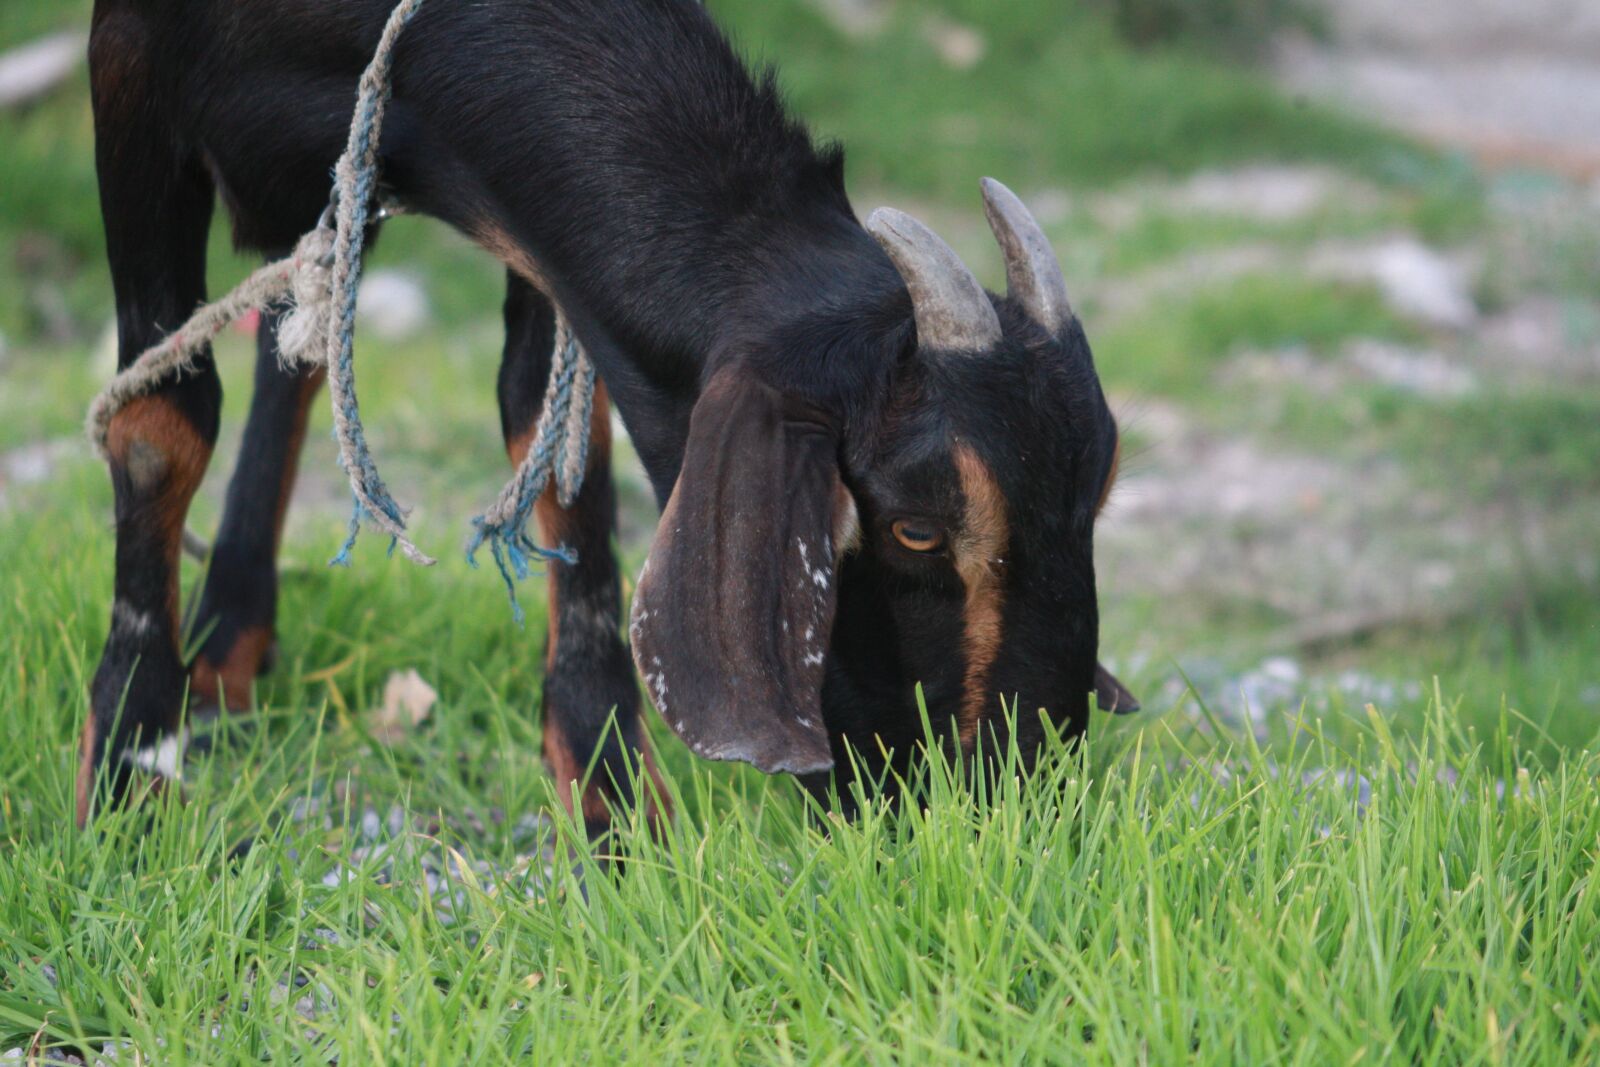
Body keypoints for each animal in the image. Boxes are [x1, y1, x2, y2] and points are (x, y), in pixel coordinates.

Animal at [79, 0, 1138, 837]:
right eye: (915, 527)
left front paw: (612, 807)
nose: (1020, 799)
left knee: (306, 325)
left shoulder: (522, 217)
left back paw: (232, 634)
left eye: (1099, 494)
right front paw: (130, 772)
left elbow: (554, 444)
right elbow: (161, 417)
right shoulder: (128, 63)